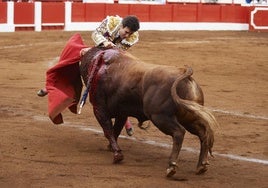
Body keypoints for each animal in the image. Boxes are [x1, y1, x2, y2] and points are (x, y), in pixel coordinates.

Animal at [79, 46, 218, 176]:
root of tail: (183, 73)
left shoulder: (99, 109)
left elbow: (108, 130)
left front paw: (117, 155)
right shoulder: (122, 113)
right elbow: (115, 130)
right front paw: (111, 148)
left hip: (159, 116)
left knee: (179, 132)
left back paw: (171, 166)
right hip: (188, 117)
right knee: (202, 134)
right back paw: (201, 166)